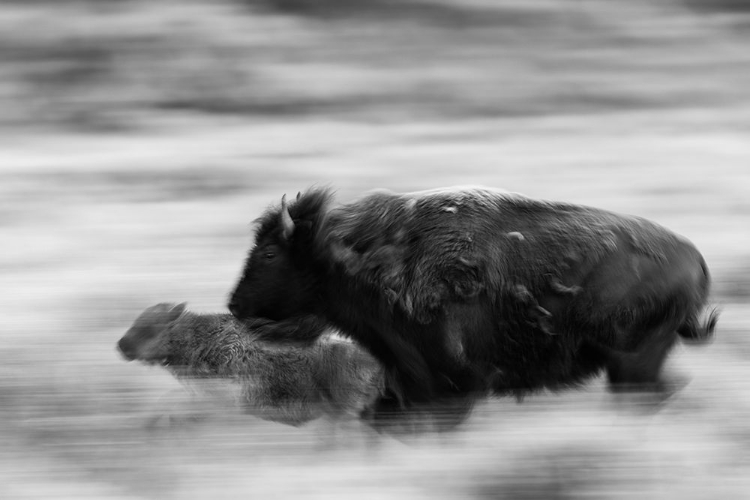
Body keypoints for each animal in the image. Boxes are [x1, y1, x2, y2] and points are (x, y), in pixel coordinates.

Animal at [226, 186, 720, 428]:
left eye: (268, 253)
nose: (234, 304)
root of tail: (695, 258)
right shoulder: (405, 383)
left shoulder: (448, 388)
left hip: (633, 364)